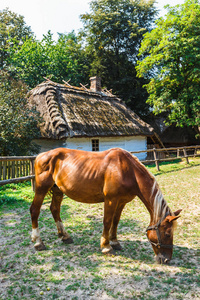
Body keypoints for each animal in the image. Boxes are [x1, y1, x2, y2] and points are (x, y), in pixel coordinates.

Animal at [30, 147, 182, 262]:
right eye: (167, 234)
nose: (166, 259)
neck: (127, 170)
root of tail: (41, 156)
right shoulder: (110, 200)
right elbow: (107, 221)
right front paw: (106, 246)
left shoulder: (121, 202)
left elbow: (115, 221)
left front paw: (115, 242)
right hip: (41, 189)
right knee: (35, 210)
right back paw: (38, 242)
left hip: (58, 190)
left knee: (55, 209)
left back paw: (64, 236)